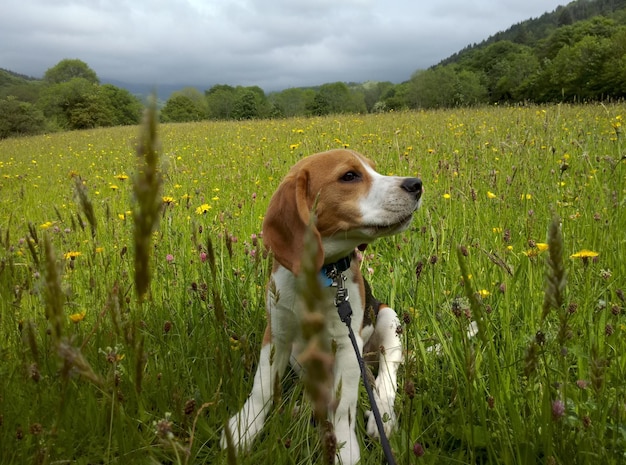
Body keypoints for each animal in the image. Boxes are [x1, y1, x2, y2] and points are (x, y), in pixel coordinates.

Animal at [222, 149, 422, 464]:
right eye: (349, 176)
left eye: (374, 170)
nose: (416, 184)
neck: (323, 273)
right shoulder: (276, 334)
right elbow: (261, 387)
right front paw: (244, 428)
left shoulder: (347, 346)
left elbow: (343, 405)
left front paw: (344, 448)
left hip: (387, 318)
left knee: (386, 375)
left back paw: (384, 416)